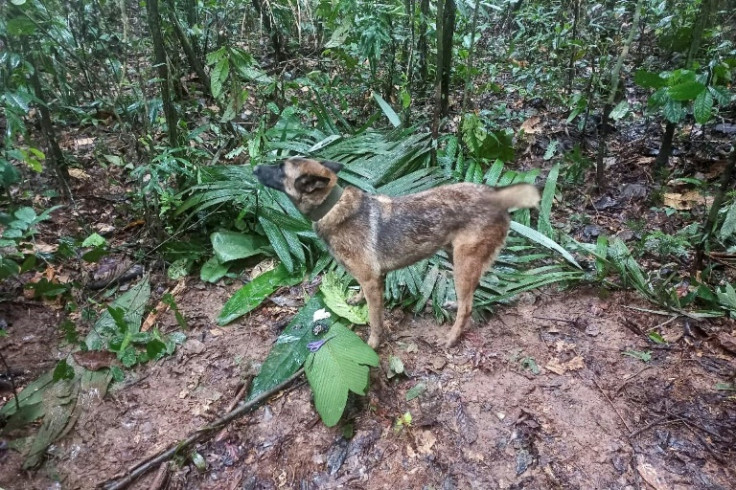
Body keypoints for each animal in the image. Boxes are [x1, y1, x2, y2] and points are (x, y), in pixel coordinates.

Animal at [254, 157, 540, 348]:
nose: (254, 167)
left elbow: (374, 319)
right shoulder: (371, 279)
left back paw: (451, 337)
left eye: (280, 168)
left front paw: (373, 343)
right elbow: (363, 297)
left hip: (463, 261)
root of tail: (495, 195)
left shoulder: (371, 280)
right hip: (455, 256)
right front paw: (357, 300)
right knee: (470, 294)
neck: (332, 206)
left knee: (468, 306)